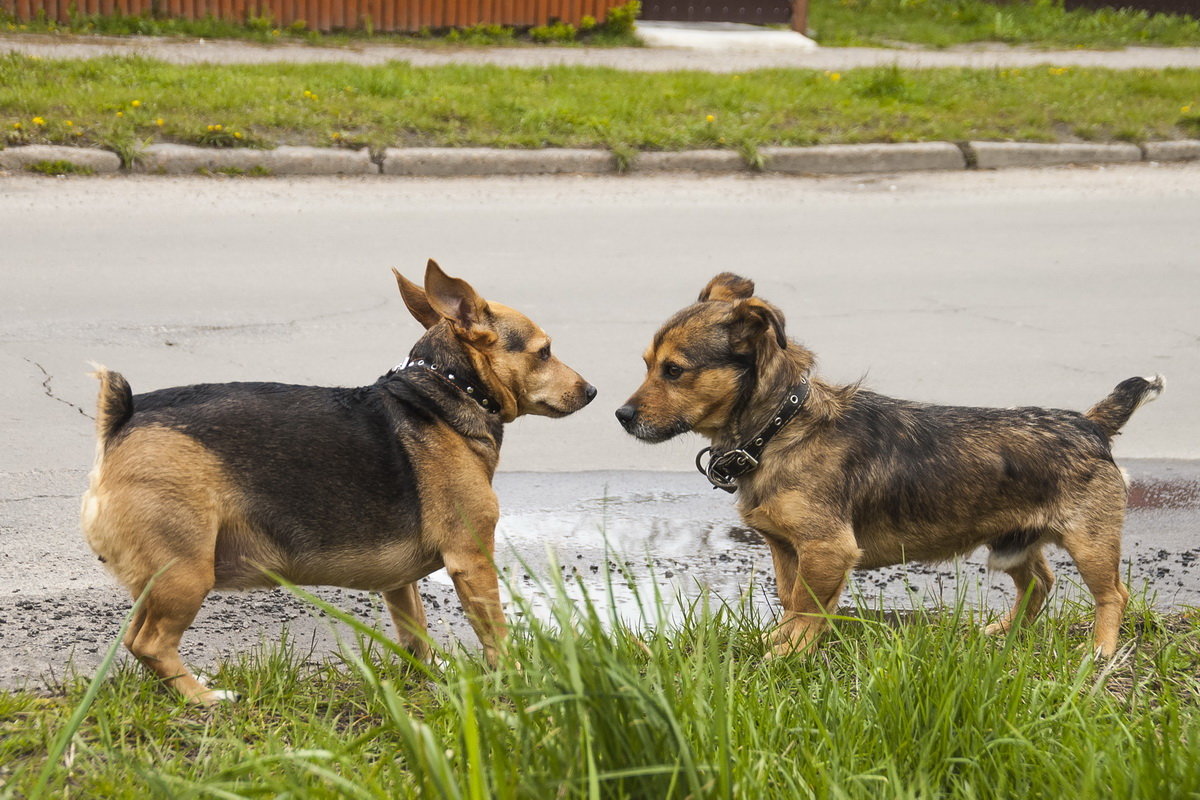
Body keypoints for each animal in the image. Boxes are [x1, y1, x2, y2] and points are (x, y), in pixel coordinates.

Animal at [79, 260, 595, 705]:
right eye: (544, 351)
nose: (591, 390)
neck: (447, 390)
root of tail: (122, 420)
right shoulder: (472, 560)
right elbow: (496, 635)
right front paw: (517, 680)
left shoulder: (401, 585)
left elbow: (416, 635)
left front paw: (425, 681)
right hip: (186, 574)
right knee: (150, 643)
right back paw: (203, 698)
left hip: (159, 581)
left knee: (136, 639)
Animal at [619, 272, 1161, 662]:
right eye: (645, 365)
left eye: (674, 370)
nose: (622, 415)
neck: (779, 426)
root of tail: (1089, 423)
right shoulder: (786, 549)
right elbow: (792, 601)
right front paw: (781, 642)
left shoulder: (827, 550)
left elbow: (808, 608)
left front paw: (788, 654)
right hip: (1013, 543)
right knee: (1040, 584)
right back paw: (1004, 632)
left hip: (1090, 542)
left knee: (1113, 594)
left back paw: (1101, 651)